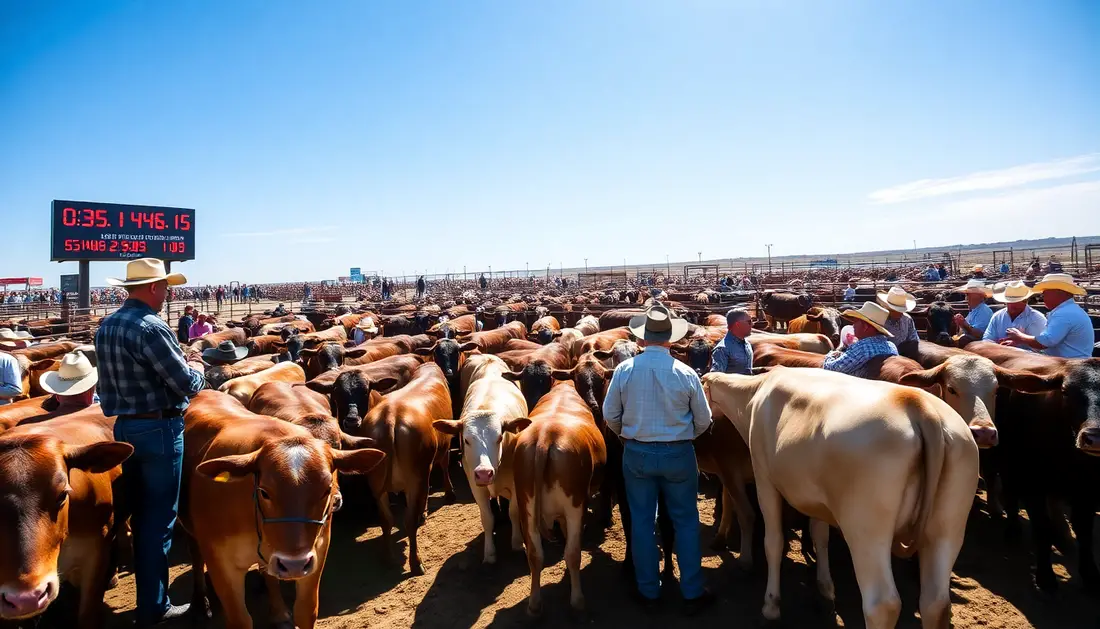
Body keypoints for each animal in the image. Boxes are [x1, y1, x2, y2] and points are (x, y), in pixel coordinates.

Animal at [181, 391, 387, 629]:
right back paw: (200, 603)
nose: (293, 564)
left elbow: (306, 611)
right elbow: (240, 620)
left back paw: (278, 612)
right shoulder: (221, 565)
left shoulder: (316, 551)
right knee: (196, 557)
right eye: (264, 492)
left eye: (326, 489)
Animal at [334, 362, 455, 576]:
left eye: (365, 391)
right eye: (337, 393)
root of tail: (390, 418)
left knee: (386, 519)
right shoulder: (439, 451)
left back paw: (388, 558)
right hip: (416, 477)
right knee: (409, 520)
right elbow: (443, 467)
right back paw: (416, 563)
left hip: (377, 483)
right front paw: (447, 495)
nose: (350, 421)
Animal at [510, 380, 607, 615]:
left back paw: (535, 604)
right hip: (575, 505)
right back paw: (578, 600)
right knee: (573, 553)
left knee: (535, 555)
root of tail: (545, 437)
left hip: (527, 506)